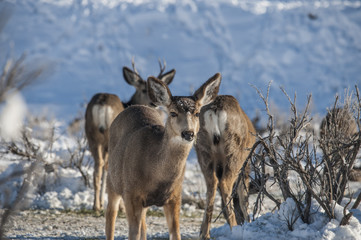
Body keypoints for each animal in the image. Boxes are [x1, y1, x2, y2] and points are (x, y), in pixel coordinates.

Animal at [84, 60, 174, 212]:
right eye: (143, 90)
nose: (154, 103)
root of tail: (102, 104)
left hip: (92, 135)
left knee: (99, 165)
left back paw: (96, 205)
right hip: (108, 139)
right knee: (107, 166)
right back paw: (114, 206)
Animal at [105, 73, 221, 240]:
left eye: (197, 113)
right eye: (172, 113)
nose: (188, 133)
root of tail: (133, 106)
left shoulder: (175, 196)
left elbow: (175, 233)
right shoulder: (131, 194)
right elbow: (133, 233)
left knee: (143, 225)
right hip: (113, 181)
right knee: (110, 216)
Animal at [194, 94, 256, 239]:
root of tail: (216, 110)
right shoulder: (246, 164)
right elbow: (244, 196)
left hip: (203, 152)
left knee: (211, 185)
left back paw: (205, 234)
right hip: (235, 154)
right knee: (225, 183)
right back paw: (234, 228)